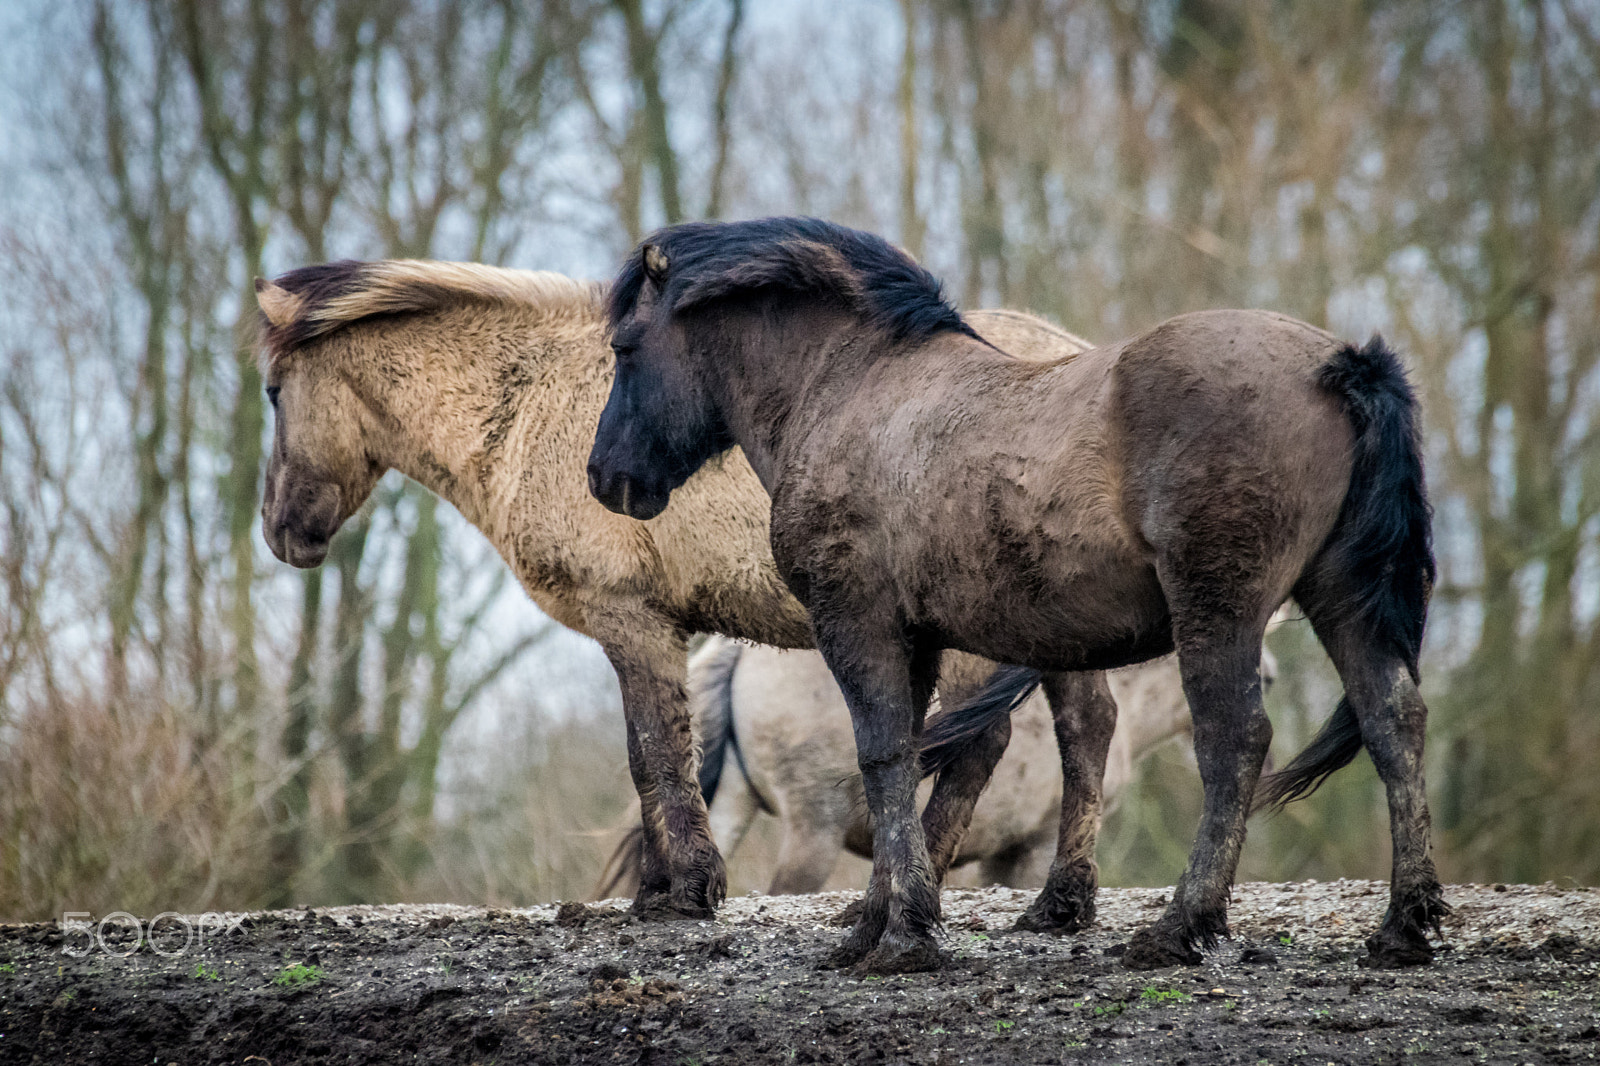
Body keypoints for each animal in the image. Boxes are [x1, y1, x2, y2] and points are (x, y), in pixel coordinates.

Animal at [252, 257, 1099, 920]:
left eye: (272, 392)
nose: (280, 529)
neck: (534, 404)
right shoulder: (642, 629)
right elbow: (647, 752)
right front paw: (658, 893)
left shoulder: (630, 618)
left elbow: (659, 751)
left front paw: (690, 888)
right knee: (1085, 729)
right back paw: (1059, 904)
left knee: (982, 745)